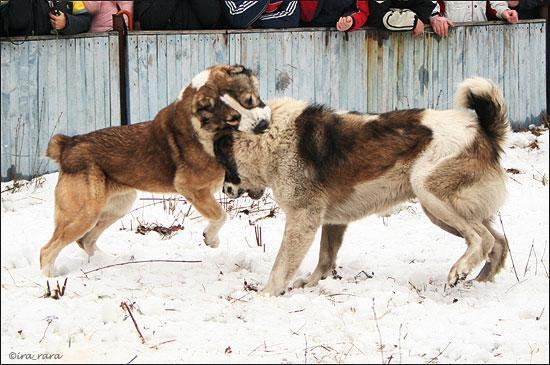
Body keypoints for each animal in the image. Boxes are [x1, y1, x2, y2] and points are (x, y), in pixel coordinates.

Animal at [38, 64, 272, 276]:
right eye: (233, 118)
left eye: (250, 100)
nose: (263, 125)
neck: (205, 127)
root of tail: (67, 145)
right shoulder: (191, 188)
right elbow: (221, 215)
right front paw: (211, 238)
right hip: (84, 213)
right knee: (47, 250)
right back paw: (51, 281)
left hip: (118, 205)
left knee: (85, 240)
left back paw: (107, 262)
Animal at [217, 77, 512, 296]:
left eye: (223, 163)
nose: (224, 191)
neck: (270, 136)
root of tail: (483, 130)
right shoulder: (332, 221)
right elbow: (325, 258)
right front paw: (311, 285)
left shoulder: (303, 218)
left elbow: (281, 264)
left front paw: (266, 295)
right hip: (443, 209)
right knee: (498, 242)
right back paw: (479, 281)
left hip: (430, 194)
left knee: (482, 239)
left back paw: (460, 270)